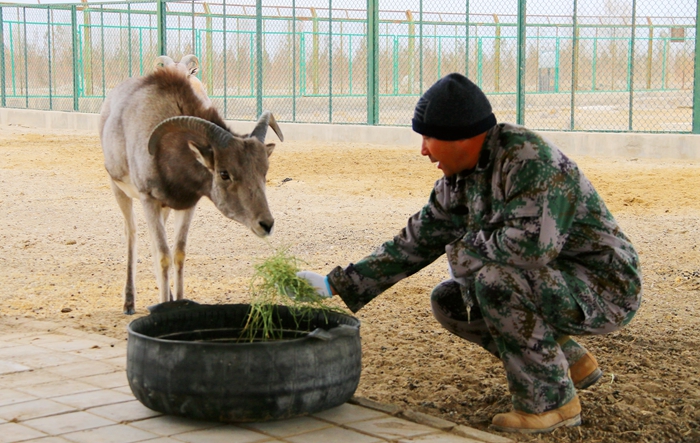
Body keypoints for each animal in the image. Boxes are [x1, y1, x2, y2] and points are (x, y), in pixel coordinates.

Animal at [99, 67, 284, 316]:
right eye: (224, 173)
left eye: (264, 171)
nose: (266, 224)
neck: (166, 150)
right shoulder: (148, 199)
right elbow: (163, 255)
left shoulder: (186, 205)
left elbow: (177, 253)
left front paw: (175, 301)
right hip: (119, 189)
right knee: (132, 233)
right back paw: (129, 303)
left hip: (164, 209)